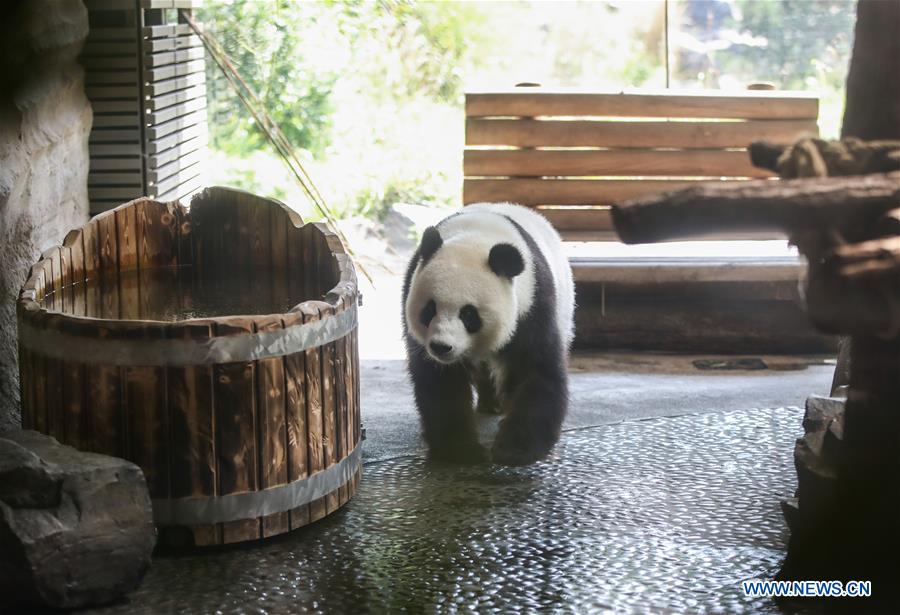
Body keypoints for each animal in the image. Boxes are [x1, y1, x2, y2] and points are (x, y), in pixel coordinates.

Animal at [402, 203, 572, 466]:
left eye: (469, 314)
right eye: (429, 309)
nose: (441, 347)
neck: (476, 237)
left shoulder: (533, 306)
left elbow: (536, 371)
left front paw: (515, 450)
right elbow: (440, 384)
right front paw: (460, 451)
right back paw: (490, 403)